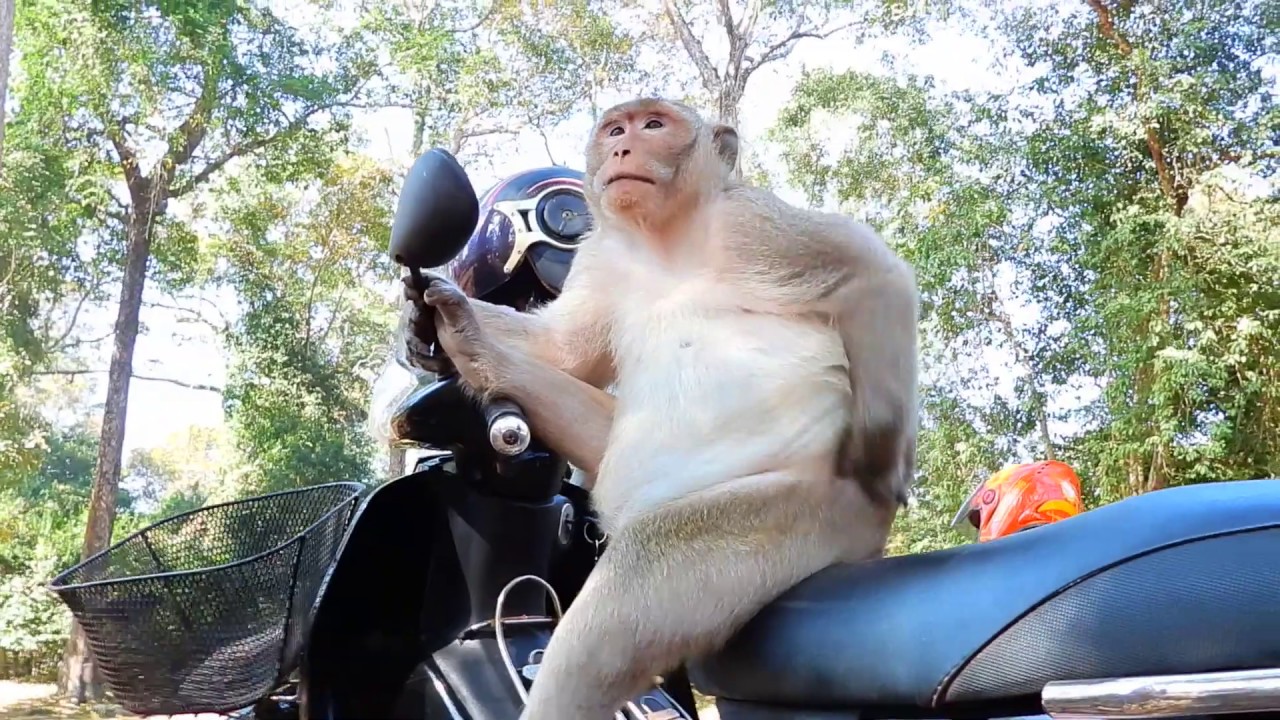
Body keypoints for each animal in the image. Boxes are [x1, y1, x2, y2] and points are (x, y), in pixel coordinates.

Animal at [400, 97, 920, 719]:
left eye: (653, 126)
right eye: (615, 130)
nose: (624, 148)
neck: (664, 239)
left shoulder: (751, 222)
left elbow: (874, 274)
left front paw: (880, 456)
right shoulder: (601, 256)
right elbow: (562, 349)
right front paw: (448, 325)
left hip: (801, 517)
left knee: (611, 615)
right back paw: (481, 357)